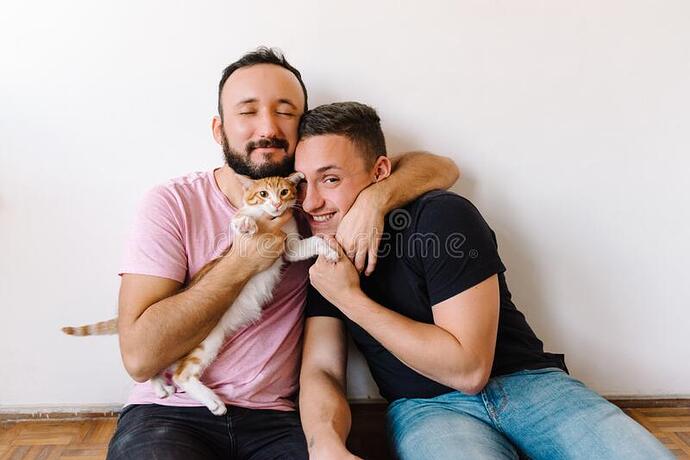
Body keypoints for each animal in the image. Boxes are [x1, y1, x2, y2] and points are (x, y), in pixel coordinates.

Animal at [63, 171, 338, 416]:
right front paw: (246, 223)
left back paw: (161, 387)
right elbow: (239, 220)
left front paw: (330, 251)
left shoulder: (290, 247)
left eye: (283, 192)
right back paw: (211, 401)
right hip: (206, 340)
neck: (270, 219)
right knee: (180, 374)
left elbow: (312, 242)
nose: (277, 203)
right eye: (263, 194)